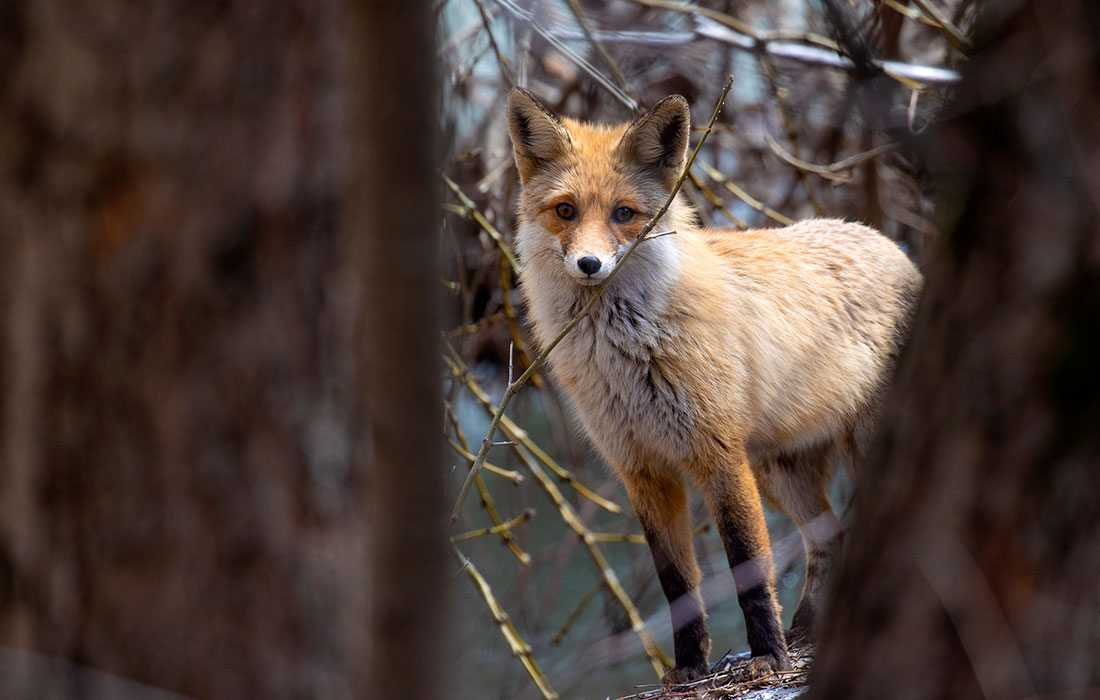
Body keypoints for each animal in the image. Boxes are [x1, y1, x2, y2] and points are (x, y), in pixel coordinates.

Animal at [505, 88, 922, 683]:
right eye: (565, 211)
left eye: (624, 214)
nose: (589, 263)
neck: (631, 355)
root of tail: (893, 246)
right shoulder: (641, 467)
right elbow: (677, 583)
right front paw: (689, 665)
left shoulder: (718, 454)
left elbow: (748, 565)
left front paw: (767, 654)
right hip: (780, 471)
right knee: (830, 538)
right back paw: (807, 626)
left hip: (858, 453)